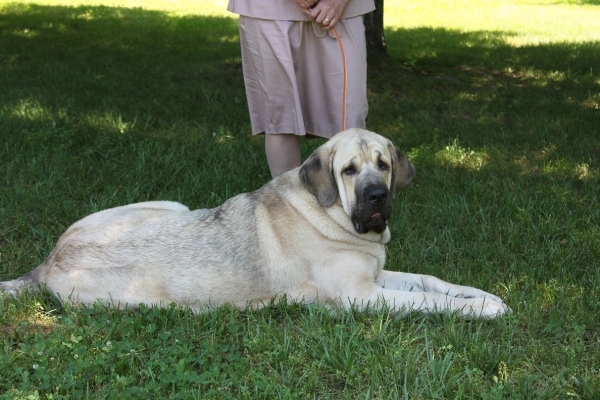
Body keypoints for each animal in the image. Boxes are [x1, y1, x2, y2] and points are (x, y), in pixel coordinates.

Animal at [0, 130, 508, 318]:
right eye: (349, 170)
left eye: (383, 165)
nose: (377, 197)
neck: (329, 213)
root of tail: (48, 262)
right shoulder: (362, 295)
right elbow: (429, 302)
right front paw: (482, 310)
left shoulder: (379, 274)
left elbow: (431, 280)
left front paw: (482, 295)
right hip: (149, 299)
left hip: (171, 204)